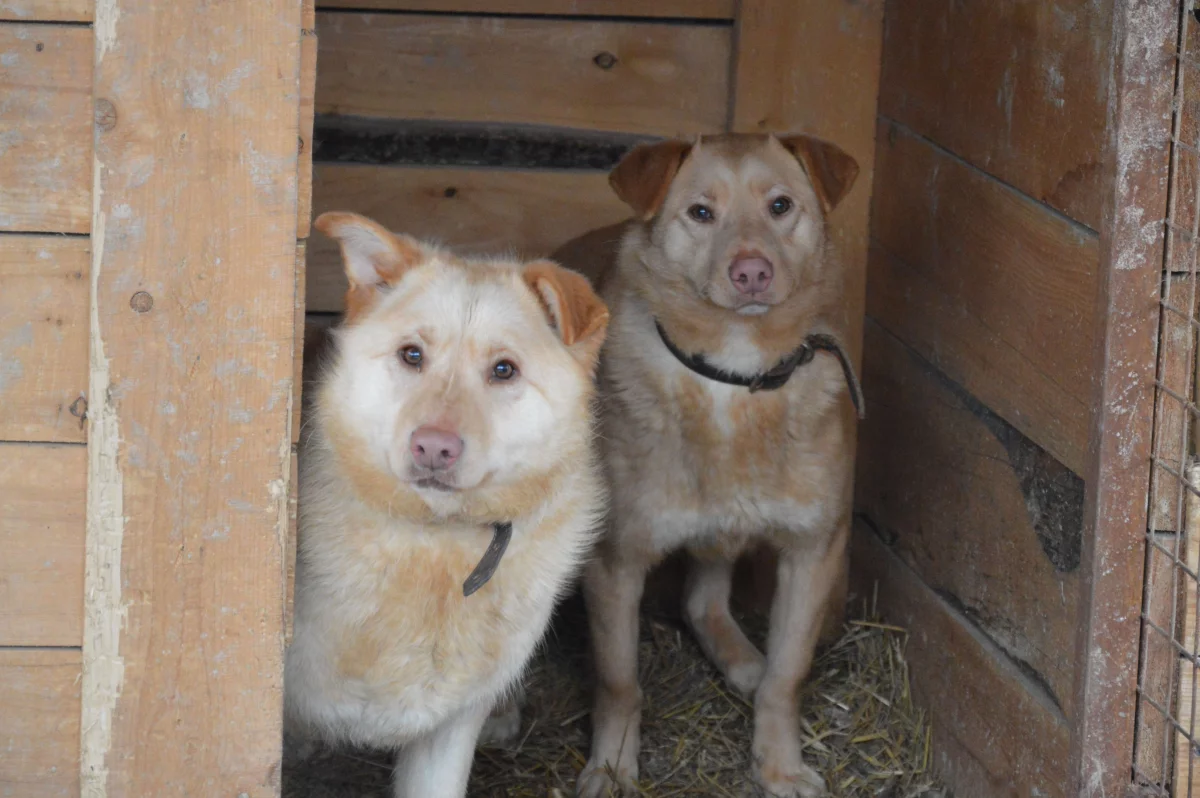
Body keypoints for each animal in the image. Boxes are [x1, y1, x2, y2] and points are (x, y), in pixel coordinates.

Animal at [552, 133, 864, 792]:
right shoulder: (613, 559)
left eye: (780, 206)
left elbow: (787, 676)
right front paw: (612, 767)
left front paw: (778, 764)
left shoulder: (815, 548)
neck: (734, 376)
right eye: (701, 212)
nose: (752, 272)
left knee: (704, 604)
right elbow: (619, 683)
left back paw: (744, 661)